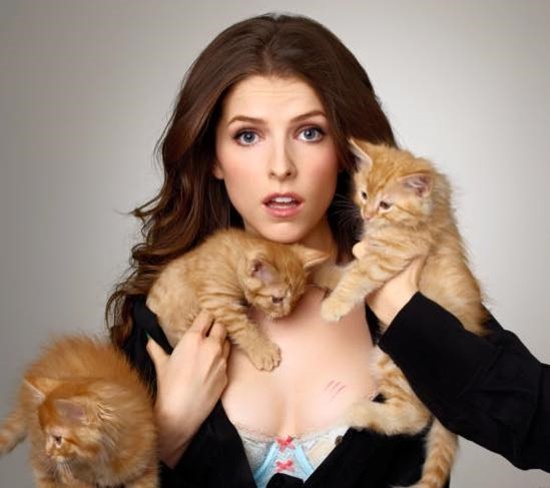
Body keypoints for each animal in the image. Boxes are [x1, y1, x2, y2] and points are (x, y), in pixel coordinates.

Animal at [0, 335, 158, 487]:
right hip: (40, 454)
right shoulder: (72, 477)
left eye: (58, 439)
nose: (48, 453)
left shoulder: (146, 467)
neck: (103, 460)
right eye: (47, 435)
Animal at [146, 228, 329, 371]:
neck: (234, 260)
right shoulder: (215, 299)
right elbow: (243, 327)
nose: (287, 313)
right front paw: (263, 351)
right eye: (276, 299)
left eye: (297, 298)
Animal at [318, 140, 487, 488]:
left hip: (388, 358)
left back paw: (359, 413)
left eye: (386, 205)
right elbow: (345, 270)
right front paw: (319, 273)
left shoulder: (391, 255)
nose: (367, 213)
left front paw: (333, 306)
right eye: (364, 194)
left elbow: (356, 276)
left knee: (415, 419)